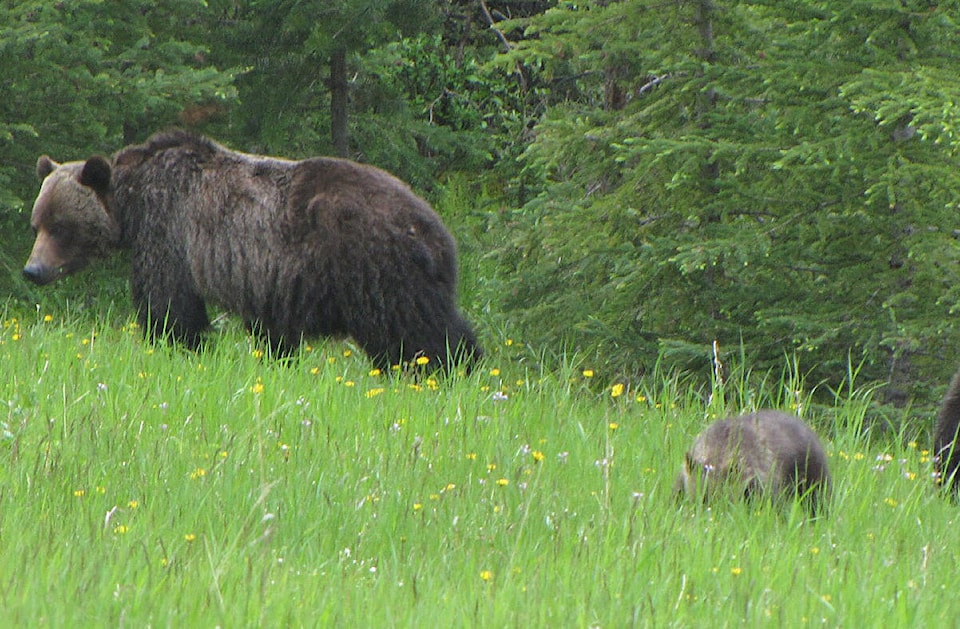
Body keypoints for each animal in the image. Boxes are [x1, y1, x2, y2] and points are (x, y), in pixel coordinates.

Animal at [24, 131, 480, 370]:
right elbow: (272, 329)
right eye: (37, 223)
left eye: (59, 226)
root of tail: (436, 228)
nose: (33, 270)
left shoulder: (169, 230)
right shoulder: (271, 278)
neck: (131, 204)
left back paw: (449, 369)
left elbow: (170, 303)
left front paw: (177, 345)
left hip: (374, 265)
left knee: (414, 330)